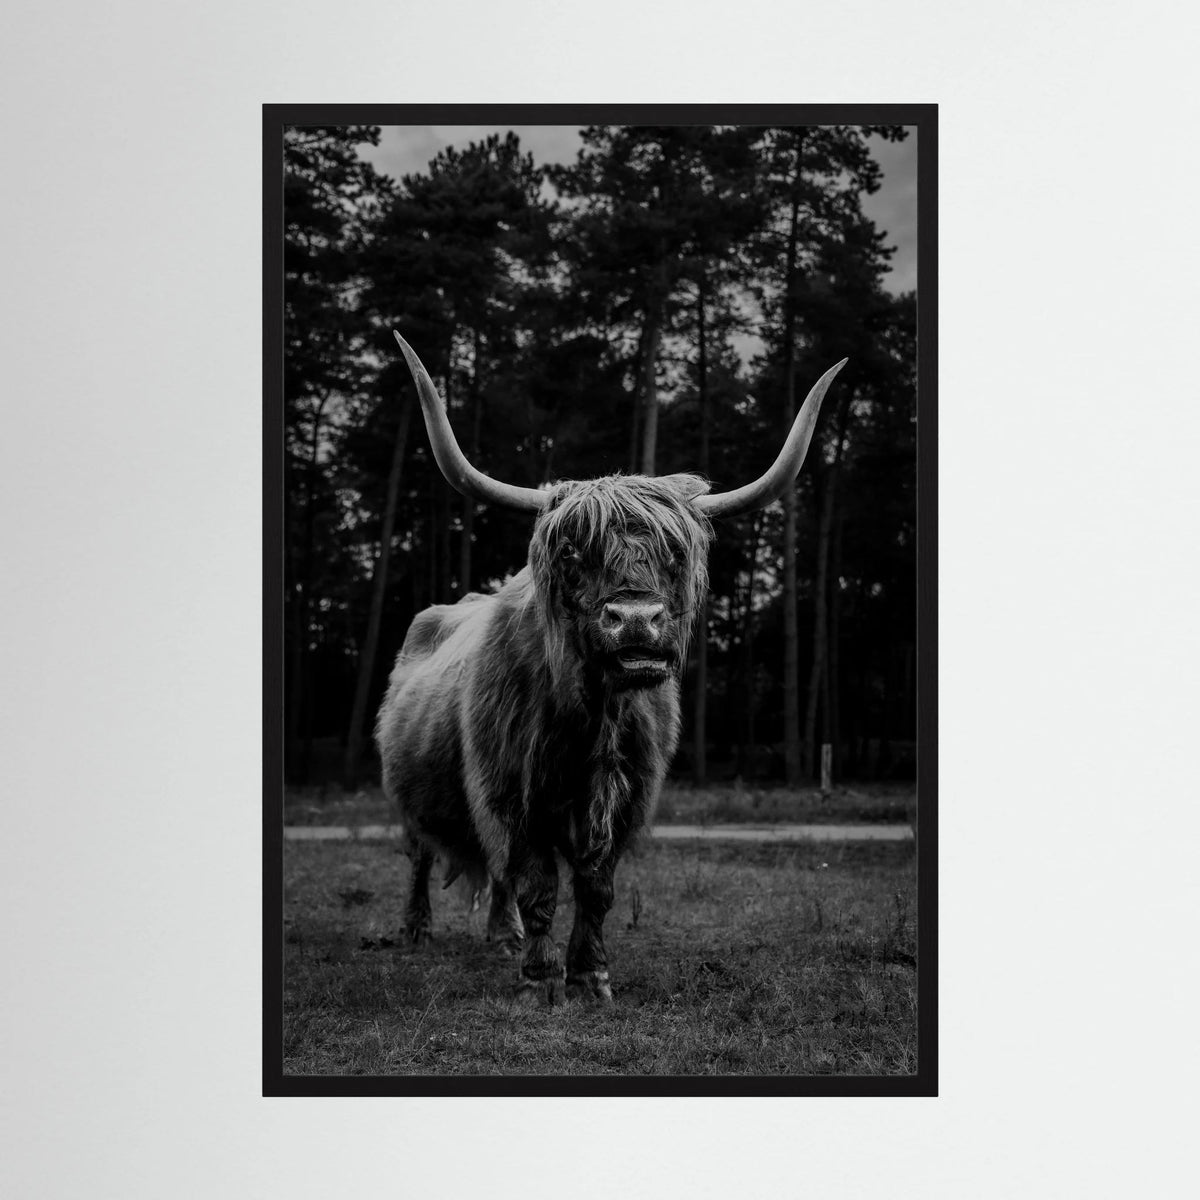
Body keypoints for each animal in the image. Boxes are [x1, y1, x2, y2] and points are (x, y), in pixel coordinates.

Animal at [375, 331, 845, 1005]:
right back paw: (418, 931)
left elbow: (596, 890)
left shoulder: (627, 800)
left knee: (493, 874)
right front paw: (541, 982)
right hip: (406, 790)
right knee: (421, 856)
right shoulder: (512, 794)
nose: (636, 620)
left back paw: (503, 936)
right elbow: (539, 886)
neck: (592, 718)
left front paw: (591, 977)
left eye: (675, 553)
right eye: (574, 552)